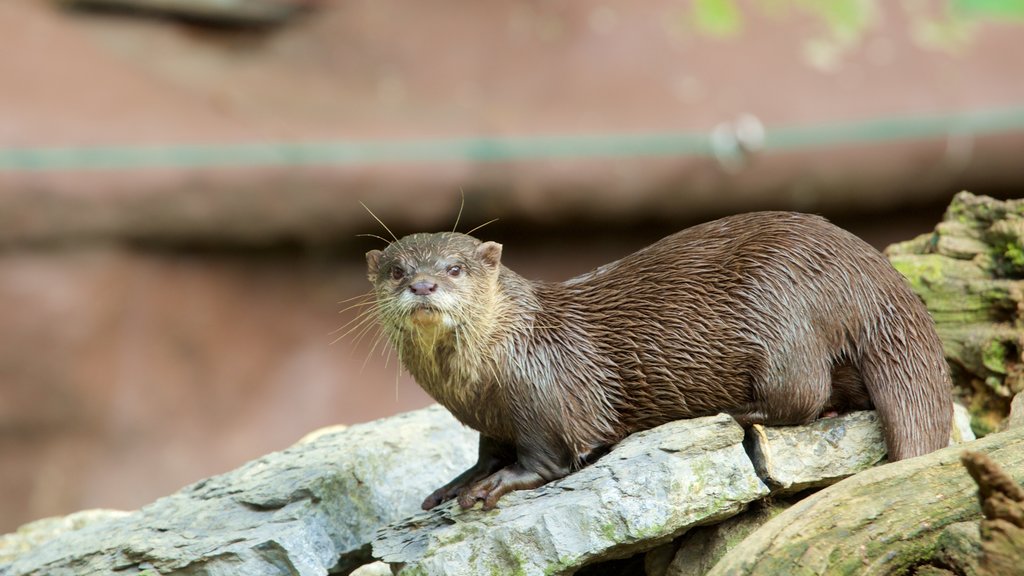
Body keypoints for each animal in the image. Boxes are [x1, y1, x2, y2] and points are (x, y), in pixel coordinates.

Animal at [366, 211, 950, 506]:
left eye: (455, 268)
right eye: (396, 270)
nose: (423, 285)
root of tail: (872, 275)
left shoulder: (547, 395)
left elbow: (547, 457)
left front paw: (496, 485)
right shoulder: (490, 417)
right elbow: (486, 451)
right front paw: (456, 483)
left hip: (783, 312)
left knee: (802, 395)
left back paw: (737, 412)